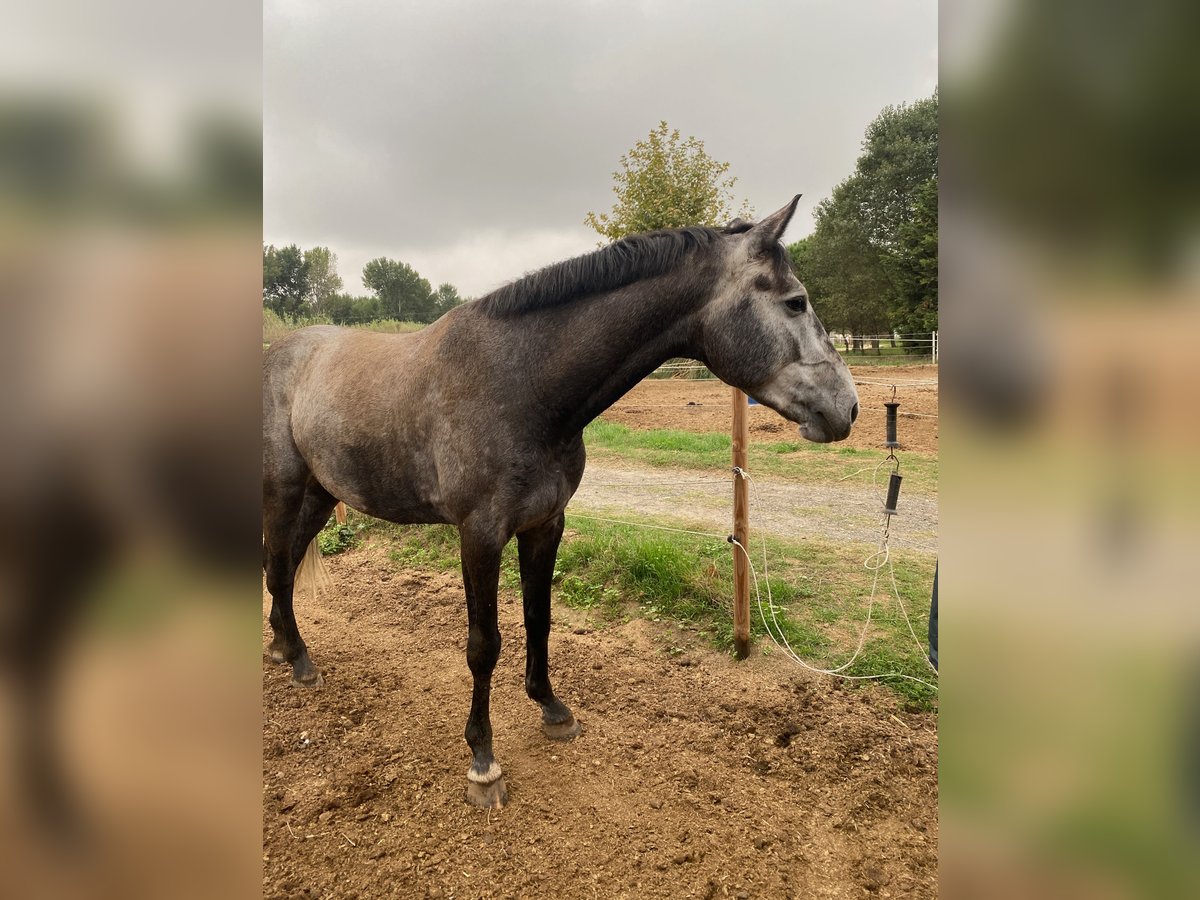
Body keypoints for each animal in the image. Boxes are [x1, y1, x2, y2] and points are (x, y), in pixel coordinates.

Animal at [264, 199, 864, 811]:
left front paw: (552, 708)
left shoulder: (545, 524)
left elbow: (539, 617)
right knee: (278, 566)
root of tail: (280, 352)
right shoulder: (479, 534)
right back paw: (299, 659)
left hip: (321, 494)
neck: (524, 385)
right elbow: (484, 645)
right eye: (796, 302)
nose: (848, 407)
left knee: (281, 566)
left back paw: (288, 651)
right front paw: (483, 760)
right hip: (284, 490)